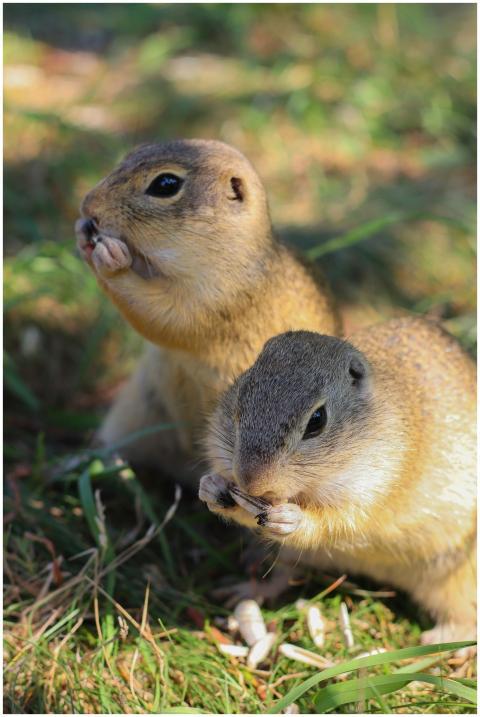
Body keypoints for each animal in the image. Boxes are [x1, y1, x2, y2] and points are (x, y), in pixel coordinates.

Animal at [76, 139, 340, 476]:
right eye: (130, 154)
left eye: (166, 184)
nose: (87, 206)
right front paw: (82, 233)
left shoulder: (218, 299)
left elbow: (162, 316)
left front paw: (108, 259)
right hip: (134, 414)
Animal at [200, 318, 476, 646]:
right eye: (239, 401)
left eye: (317, 420)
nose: (250, 482)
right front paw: (211, 488)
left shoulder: (373, 490)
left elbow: (337, 523)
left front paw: (291, 519)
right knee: (282, 574)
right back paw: (247, 590)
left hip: (456, 574)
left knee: (464, 613)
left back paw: (445, 640)